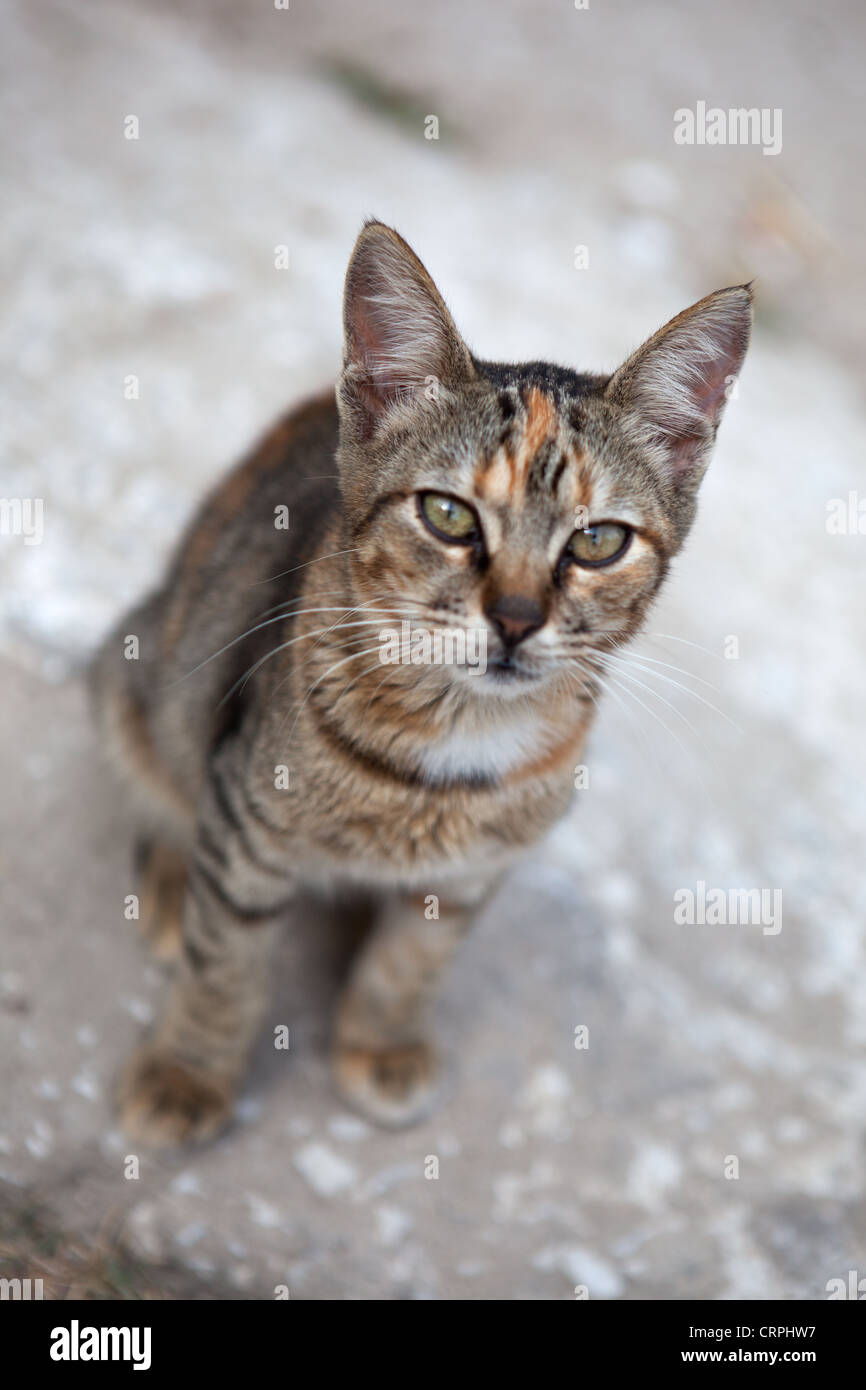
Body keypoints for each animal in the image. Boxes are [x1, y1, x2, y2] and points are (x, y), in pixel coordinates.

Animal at [89, 222, 750, 1145]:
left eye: (598, 542)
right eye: (447, 516)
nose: (516, 618)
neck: (457, 740)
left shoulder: (474, 869)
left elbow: (412, 961)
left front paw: (381, 1043)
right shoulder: (249, 812)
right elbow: (226, 966)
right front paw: (189, 1071)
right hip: (146, 678)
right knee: (165, 791)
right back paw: (174, 882)